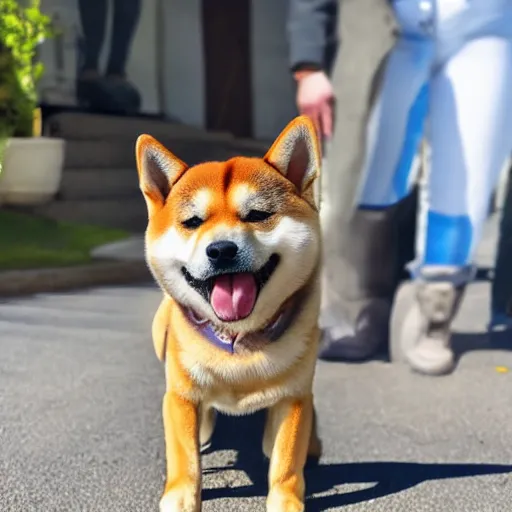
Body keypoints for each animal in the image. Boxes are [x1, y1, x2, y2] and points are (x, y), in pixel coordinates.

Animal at [134, 116, 322, 512]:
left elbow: (286, 459)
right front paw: (181, 497)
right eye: (192, 222)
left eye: (258, 215)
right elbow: (185, 456)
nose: (221, 249)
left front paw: (285, 500)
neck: (238, 341)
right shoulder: (180, 395)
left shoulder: (295, 397)